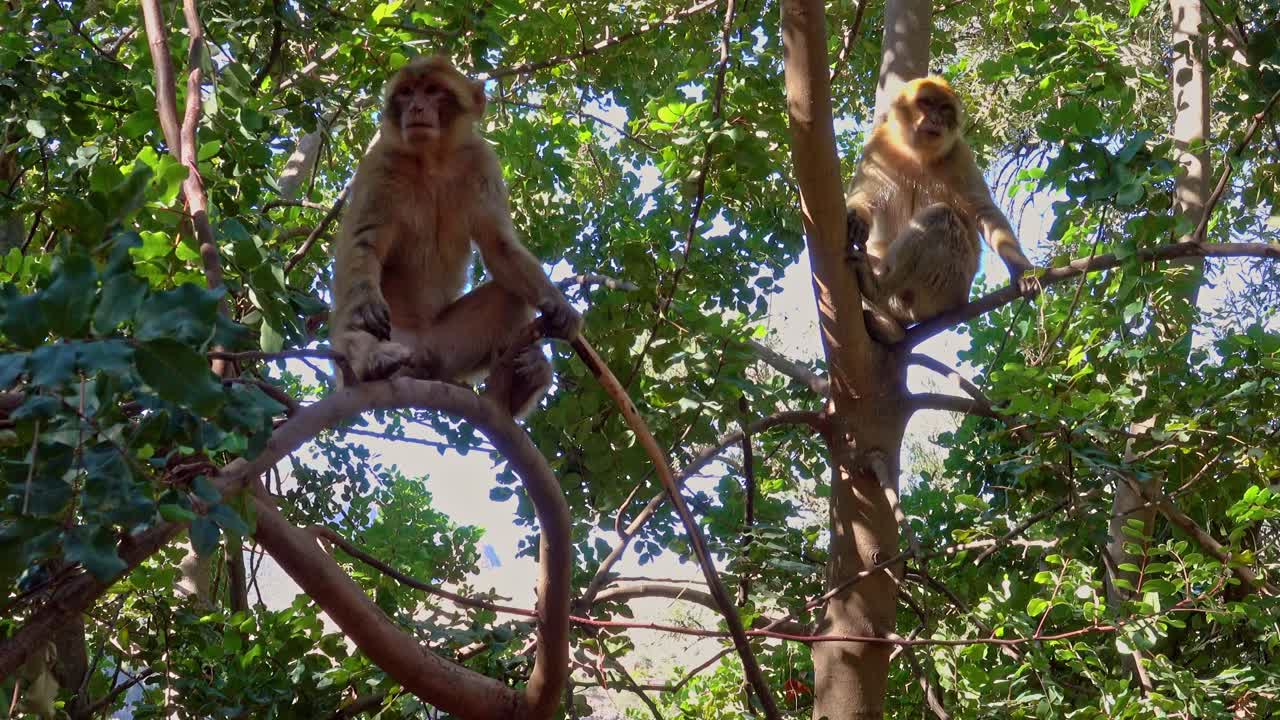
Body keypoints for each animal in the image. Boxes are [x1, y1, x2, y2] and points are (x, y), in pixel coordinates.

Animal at [330, 56, 581, 418]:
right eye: (406, 92)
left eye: (433, 90)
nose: (417, 107)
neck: (431, 158)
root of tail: (420, 353)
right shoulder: (380, 162)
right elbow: (364, 243)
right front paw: (367, 308)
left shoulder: (480, 161)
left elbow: (499, 246)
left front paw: (560, 306)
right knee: (351, 323)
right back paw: (373, 362)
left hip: (446, 351)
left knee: (508, 295)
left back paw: (520, 385)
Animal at [844, 76, 1037, 343]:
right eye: (926, 103)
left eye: (945, 109)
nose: (936, 119)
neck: (917, 154)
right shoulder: (878, 148)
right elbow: (865, 196)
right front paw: (857, 219)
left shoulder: (960, 154)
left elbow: (984, 211)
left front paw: (1022, 271)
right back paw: (884, 322)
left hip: (949, 287)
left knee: (941, 217)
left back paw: (877, 288)